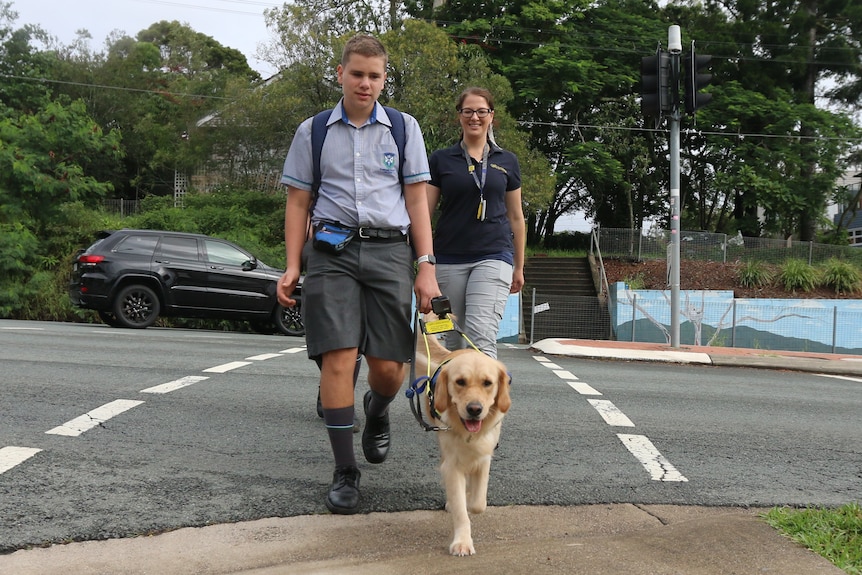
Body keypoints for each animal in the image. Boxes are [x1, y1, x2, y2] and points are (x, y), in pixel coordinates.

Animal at [416, 322, 510, 556]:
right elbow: (460, 509)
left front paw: (471, 501)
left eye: (487, 383)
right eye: (460, 382)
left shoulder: (485, 457)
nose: (474, 409)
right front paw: (462, 542)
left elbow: (478, 503)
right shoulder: (451, 464)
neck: (469, 435)